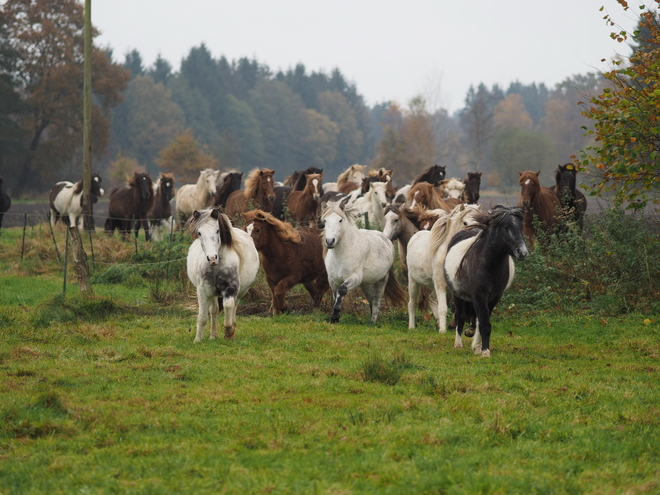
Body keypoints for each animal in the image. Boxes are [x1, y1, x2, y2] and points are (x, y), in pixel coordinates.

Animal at [187, 208, 260, 340]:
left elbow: (228, 305)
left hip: (240, 292)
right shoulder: (203, 290)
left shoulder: (231, 288)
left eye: (217, 230)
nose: (212, 259)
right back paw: (213, 336)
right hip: (212, 293)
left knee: (234, 306)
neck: (216, 267)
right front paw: (198, 340)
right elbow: (203, 317)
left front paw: (228, 331)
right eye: (199, 233)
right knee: (214, 310)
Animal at [404, 202, 482, 334]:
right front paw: (443, 330)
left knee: (430, 298)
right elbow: (443, 307)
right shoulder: (440, 283)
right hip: (414, 281)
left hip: (432, 284)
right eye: (465, 223)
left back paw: (437, 322)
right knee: (412, 303)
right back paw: (411, 326)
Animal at [444, 207, 532, 358]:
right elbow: (484, 323)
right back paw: (458, 344)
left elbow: (482, 321)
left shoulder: (494, 297)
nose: (522, 252)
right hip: (457, 295)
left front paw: (479, 347)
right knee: (460, 316)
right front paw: (485, 351)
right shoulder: (480, 295)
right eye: (506, 227)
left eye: (520, 227)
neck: (490, 265)